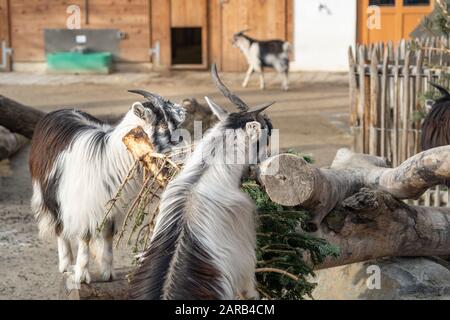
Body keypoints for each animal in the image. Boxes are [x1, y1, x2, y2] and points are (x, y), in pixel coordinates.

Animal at [28, 91, 186, 284]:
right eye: (163, 125)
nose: (183, 155)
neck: (109, 158)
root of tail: (55, 112)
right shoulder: (84, 206)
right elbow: (84, 236)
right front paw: (82, 275)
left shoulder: (113, 208)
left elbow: (108, 235)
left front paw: (107, 272)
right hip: (50, 192)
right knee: (60, 226)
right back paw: (66, 264)